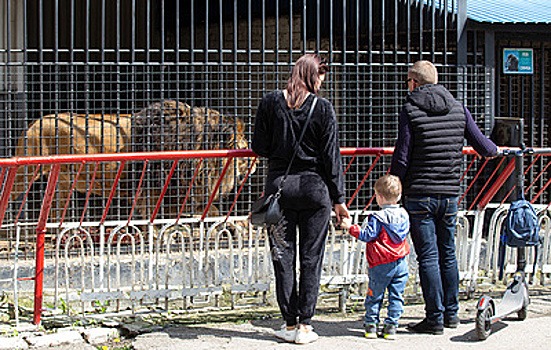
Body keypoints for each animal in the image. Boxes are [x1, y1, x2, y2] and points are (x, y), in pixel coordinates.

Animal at [12, 100, 254, 220]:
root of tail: (34, 122)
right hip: (25, 174)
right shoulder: (156, 190)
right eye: (245, 148)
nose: (257, 163)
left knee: (53, 216)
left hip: (62, 182)